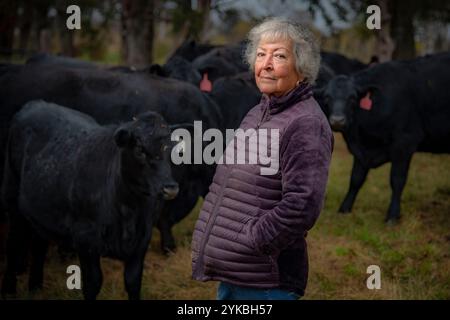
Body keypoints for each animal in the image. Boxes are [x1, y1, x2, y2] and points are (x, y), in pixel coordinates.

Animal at [1, 100, 179, 300]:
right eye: (140, 149)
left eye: (172, 149)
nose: (170, 187)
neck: (128, 210)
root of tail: (36, 103)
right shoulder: (85, 238)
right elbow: (93, 282)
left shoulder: (141, 240)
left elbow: (133, 282)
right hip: (11, 199)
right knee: (13, 244)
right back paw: (8, 289)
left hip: (40, 210)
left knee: (39, 245)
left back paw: (36, 287)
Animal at [322, 52, 450, 222]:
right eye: (327, 97)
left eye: (352, 98)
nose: (337, 120)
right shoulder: (362, 151)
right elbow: (356, 179)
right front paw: (345, 209)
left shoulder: (405, 143)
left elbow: (397, 179)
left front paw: (392, 216)